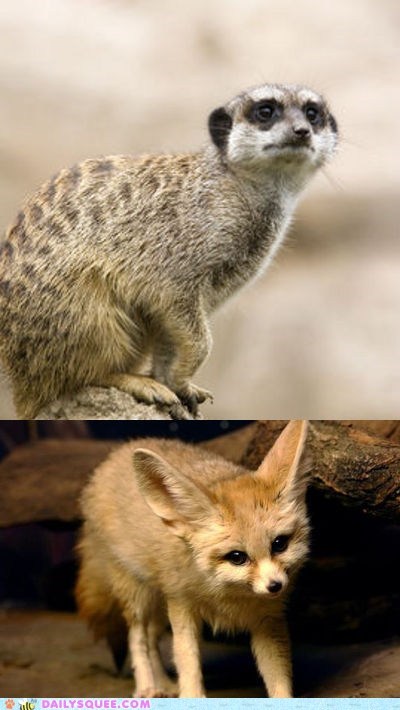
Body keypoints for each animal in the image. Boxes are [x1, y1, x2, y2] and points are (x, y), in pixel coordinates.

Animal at [75, 420, 310, 698]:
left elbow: (278, 676)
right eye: (237, 557)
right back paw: (147, 686)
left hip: (160, 606)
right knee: (138, 637)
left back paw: (164, 684)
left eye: (279, 544)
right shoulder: (182, 607)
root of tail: (115, 455)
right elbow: (186, 660)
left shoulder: (268, 620)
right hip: (138, 597)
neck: (229, 596)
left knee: (152, 639)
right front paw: (191, 695)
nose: (275, 586)